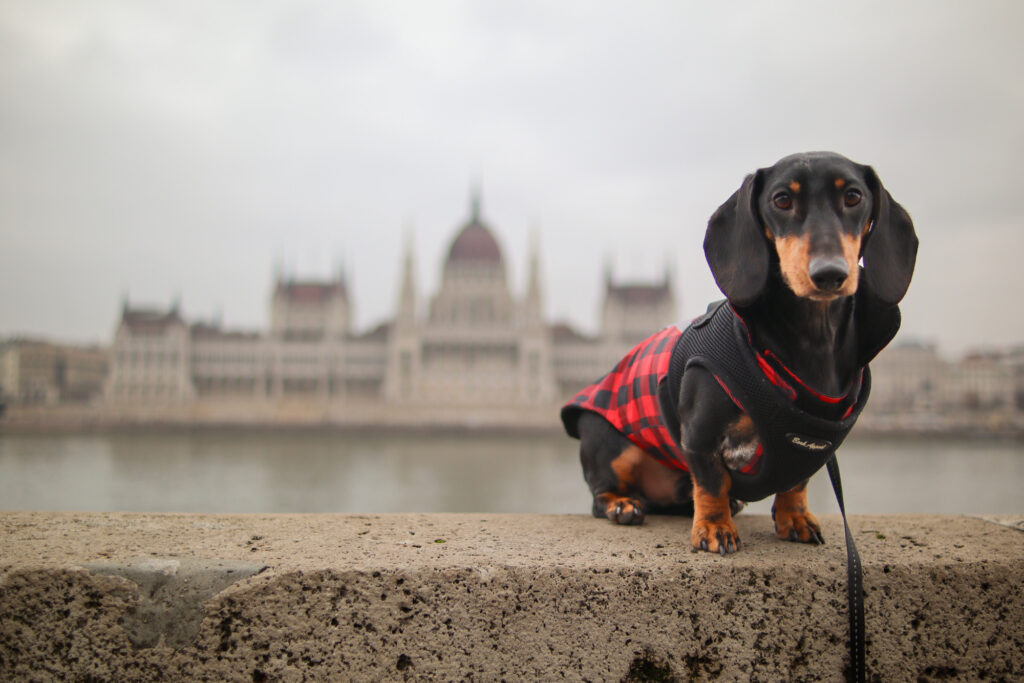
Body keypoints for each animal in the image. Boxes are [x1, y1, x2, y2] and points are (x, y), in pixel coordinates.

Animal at [561, 150, 921, 557]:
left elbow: (795, 483)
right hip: (608, 440)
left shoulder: (810, 449)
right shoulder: (699, 435)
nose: (829, 272)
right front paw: (714, 526)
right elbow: (711, 482)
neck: (811, 339)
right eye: (782, 200)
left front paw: (794, 517)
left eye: (854, 197)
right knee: (603, 492)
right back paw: (623, 504)